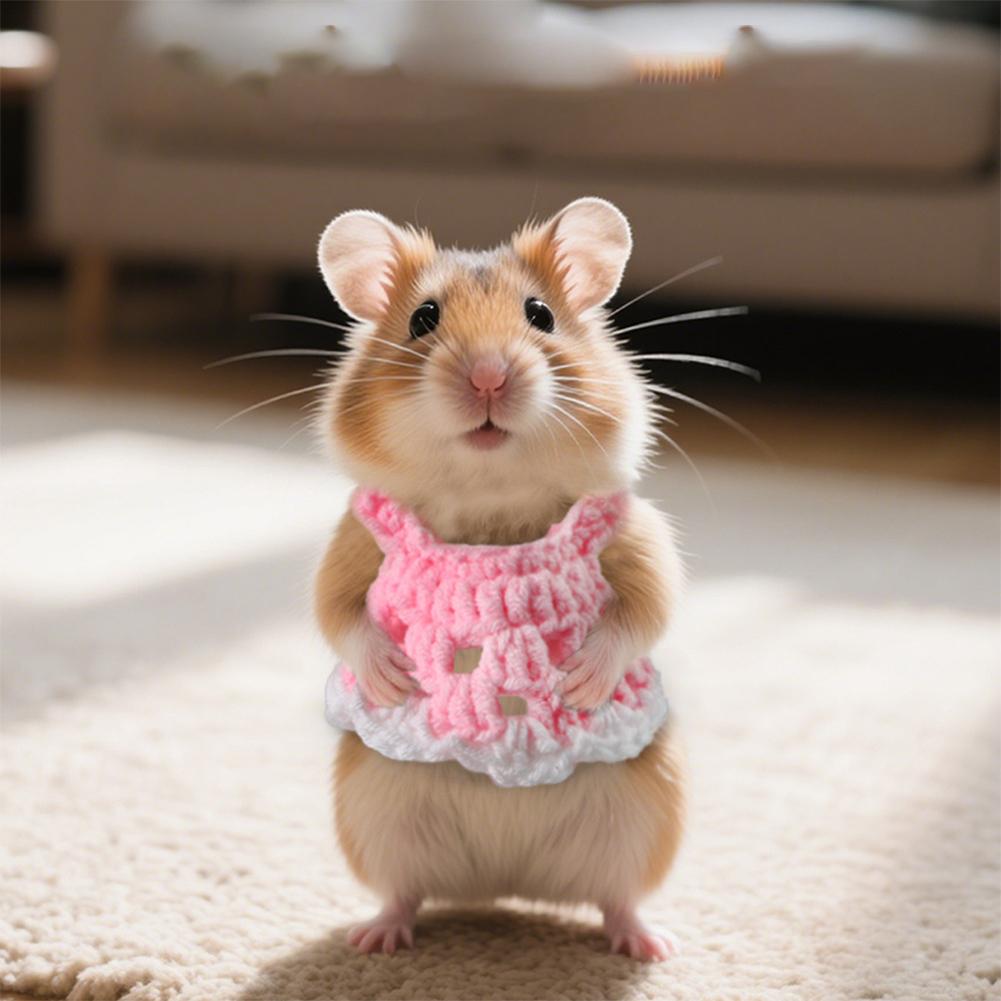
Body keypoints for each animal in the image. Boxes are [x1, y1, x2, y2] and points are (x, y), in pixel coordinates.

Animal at [313, 198, 685, 961]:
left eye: (539, 314)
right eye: (422, 319)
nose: (487, 376)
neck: (490, 497)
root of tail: (503, 885)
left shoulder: (633, 537)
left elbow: (645, 609)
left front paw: (576, 679)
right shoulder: (355, 537)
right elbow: (336, 611)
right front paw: (393, 677)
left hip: (646, 815)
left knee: (618, 898)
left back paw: (648, 945)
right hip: (373, 816)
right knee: (404, 890)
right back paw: (375, 939)